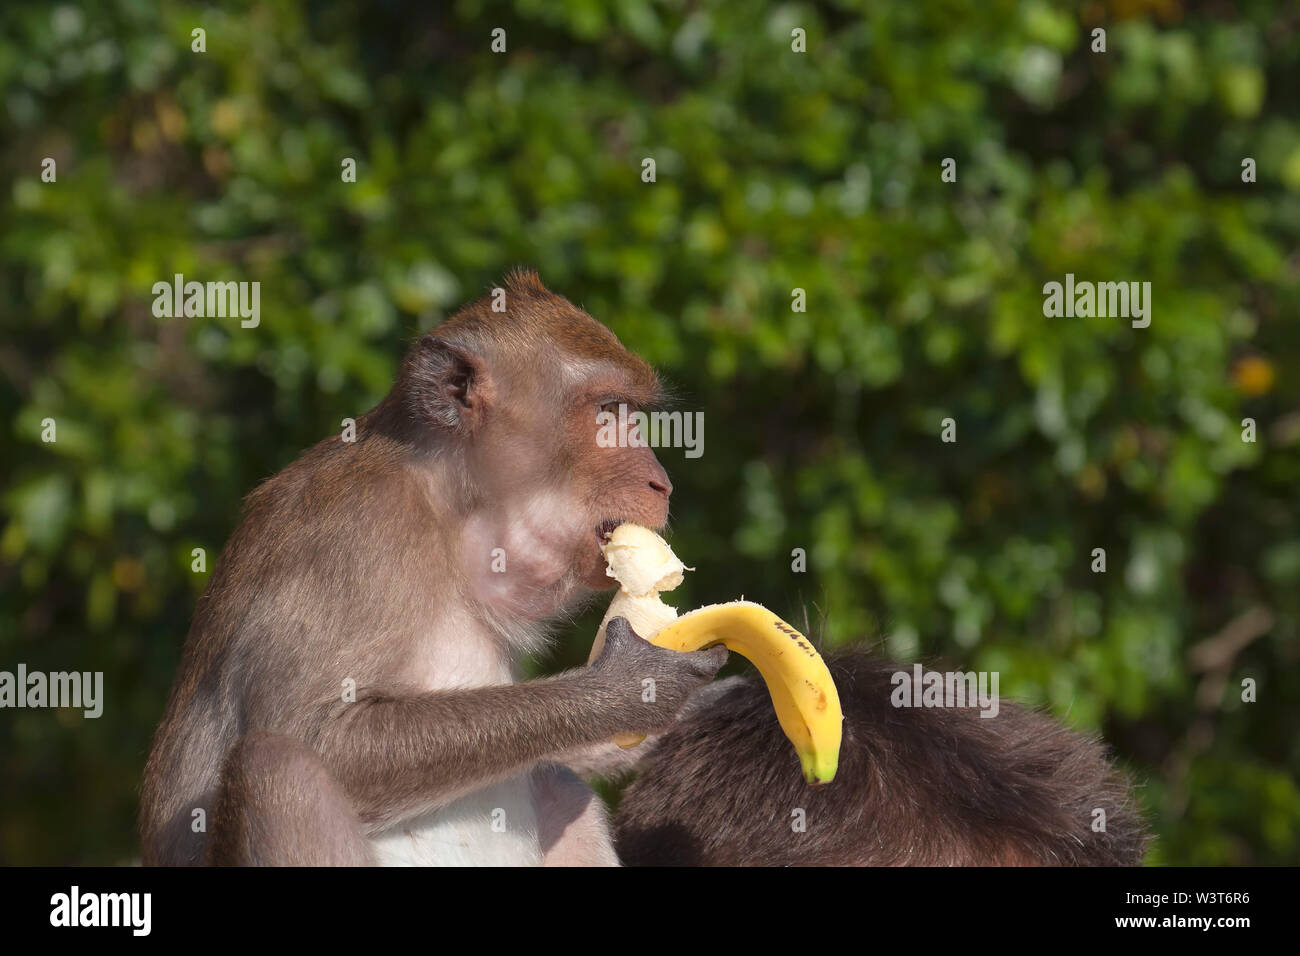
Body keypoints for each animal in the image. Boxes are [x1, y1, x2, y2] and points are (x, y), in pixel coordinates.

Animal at [140, 269, 729, 866]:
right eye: (608, 412)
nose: (662, 483)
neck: (449, 514)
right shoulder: (360, 535)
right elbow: (315, 732)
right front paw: (629, 689)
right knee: (277, 765)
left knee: (560, 785)